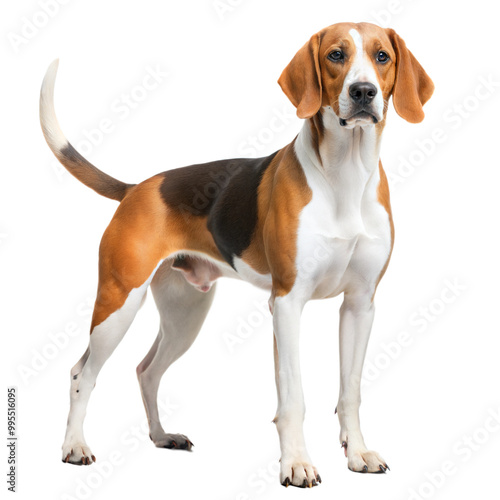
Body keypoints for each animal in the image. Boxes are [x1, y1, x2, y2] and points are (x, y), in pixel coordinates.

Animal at [41, 21, 434, 486]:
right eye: (336, 55)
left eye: (382, 56)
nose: (362, 92)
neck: (346, 176)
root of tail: (137, 188)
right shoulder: (287, 303)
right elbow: (293, 397)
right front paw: (296, 464)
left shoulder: (360, 306)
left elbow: (350, 391)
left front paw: (357, 454)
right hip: (118, 304)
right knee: (82, 373)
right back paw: (74, 447)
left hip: (185, 314)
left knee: (146, 371)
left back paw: (161, 436)